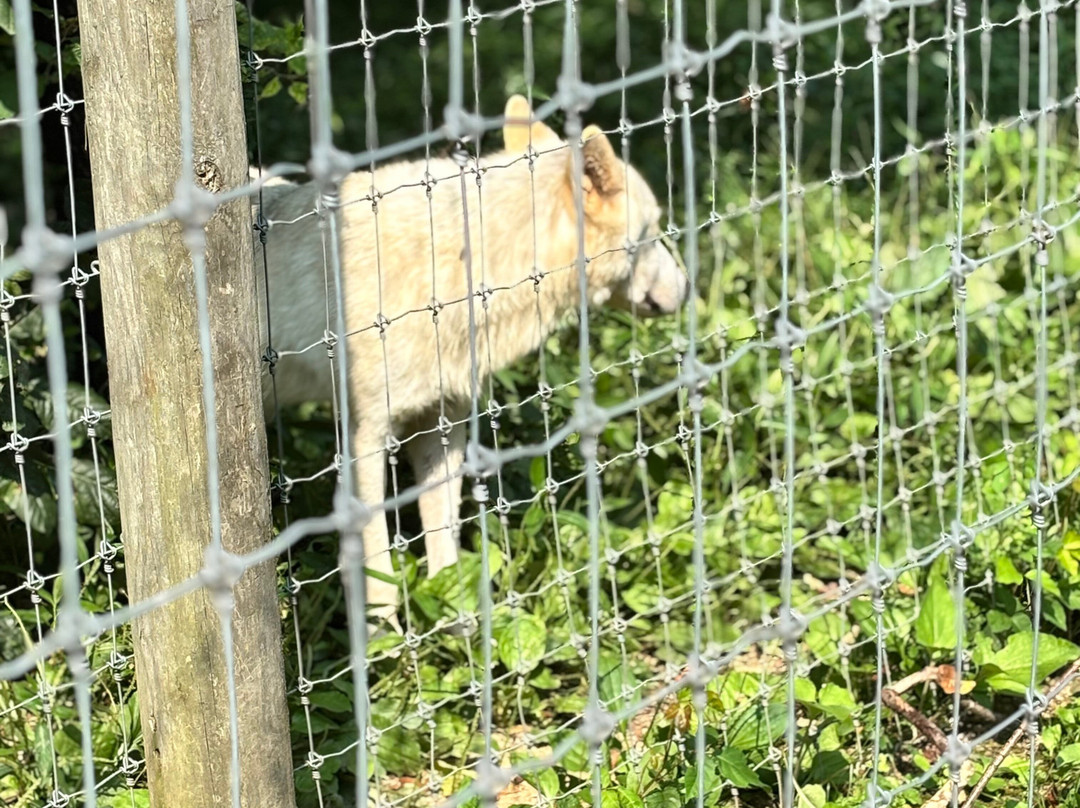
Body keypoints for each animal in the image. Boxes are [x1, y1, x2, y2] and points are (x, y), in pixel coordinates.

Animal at [252, 95, 688, 629]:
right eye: (652, 232)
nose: (688, 286)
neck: (462, 270)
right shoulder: (364, 436)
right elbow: (377, 569)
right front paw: (385, 642)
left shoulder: (442, 423)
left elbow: (445, 541)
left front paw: (461, 630)